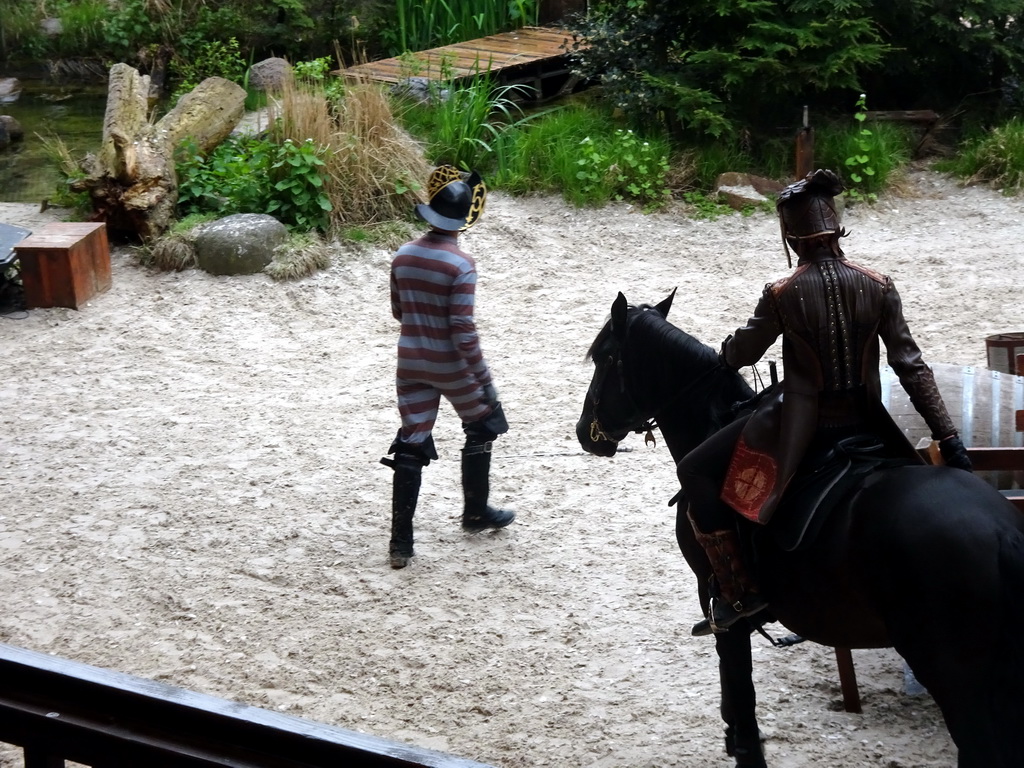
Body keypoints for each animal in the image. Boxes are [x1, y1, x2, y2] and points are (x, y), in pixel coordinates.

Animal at [577, 290, 1024, 768]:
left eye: (604, 357)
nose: (584, 431)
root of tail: (1004, 534)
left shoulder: (719, 603)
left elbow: (739, 689)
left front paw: (743, 746)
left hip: (955, 678)